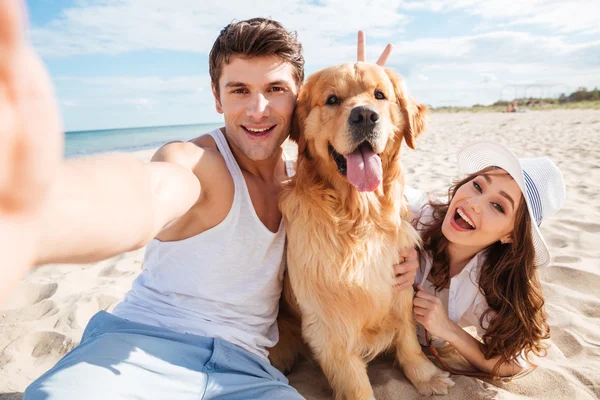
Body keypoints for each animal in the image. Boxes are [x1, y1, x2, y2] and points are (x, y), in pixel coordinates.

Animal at [270, 64, 452, 398]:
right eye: (332, 99)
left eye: (379, 95)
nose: (365, 116)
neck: (360, 217)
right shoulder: (331, 325)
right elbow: (356, 385)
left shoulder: (399, 287)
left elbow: (408, 338)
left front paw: (426, 376)